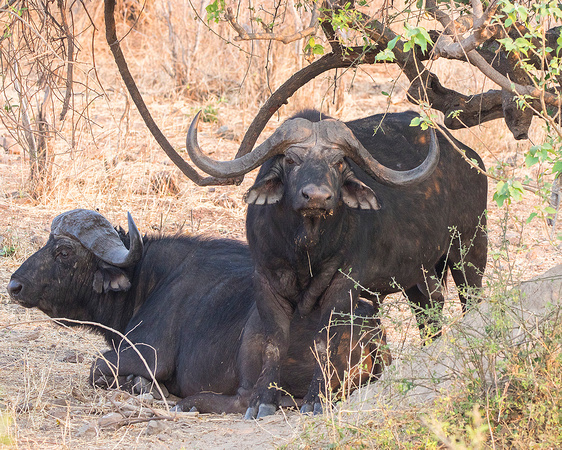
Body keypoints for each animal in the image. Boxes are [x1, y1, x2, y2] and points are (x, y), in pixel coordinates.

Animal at [6, 209, 390, 414]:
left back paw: (186, 402)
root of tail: (368, 327)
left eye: (64, 252)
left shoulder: (147, 355)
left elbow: (97, 366)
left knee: (248, 399)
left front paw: (143, 386)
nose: (14, 286)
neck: (149, 279)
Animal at [184, 109, 486, 418]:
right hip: (418, 275)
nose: (316, 197)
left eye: (339, 162)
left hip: (470, 248)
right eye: (291, 160)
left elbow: (324, 342)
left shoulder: (342, 285)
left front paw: (316, 398)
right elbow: (274, 342)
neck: (305, 248)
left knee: (470, 300)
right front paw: (262, 400)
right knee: (429, 310)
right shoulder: (265, 280)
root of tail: (468, 157)